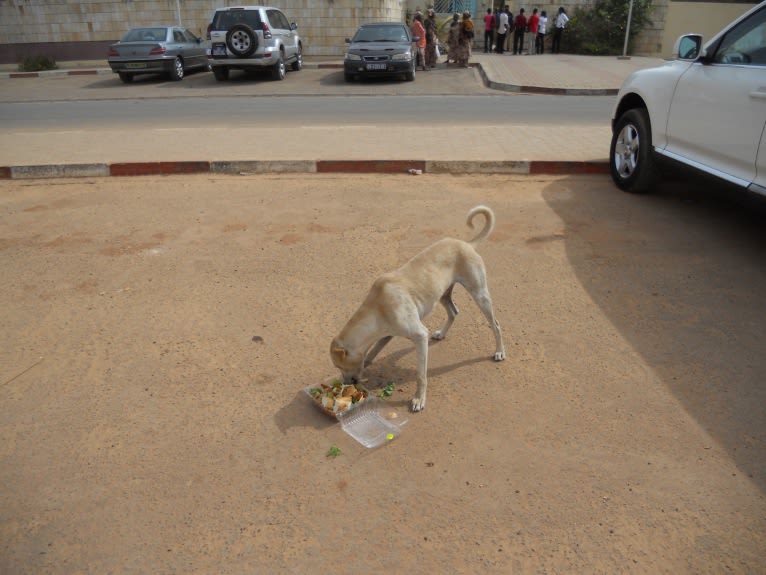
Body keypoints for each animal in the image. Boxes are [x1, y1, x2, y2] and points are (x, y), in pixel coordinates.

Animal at [328, 205, 504, 412]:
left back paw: (499, 352)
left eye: (340, 366)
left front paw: (419, 399)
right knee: (454, 312)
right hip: (442, 294)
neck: (378, 306)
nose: (346, 384)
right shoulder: (387, 333)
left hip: (479, 293)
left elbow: (421, 375)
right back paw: (441, 333)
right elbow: (371, 354)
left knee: (496, 324)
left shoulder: (419, 336)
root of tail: (467, 244)